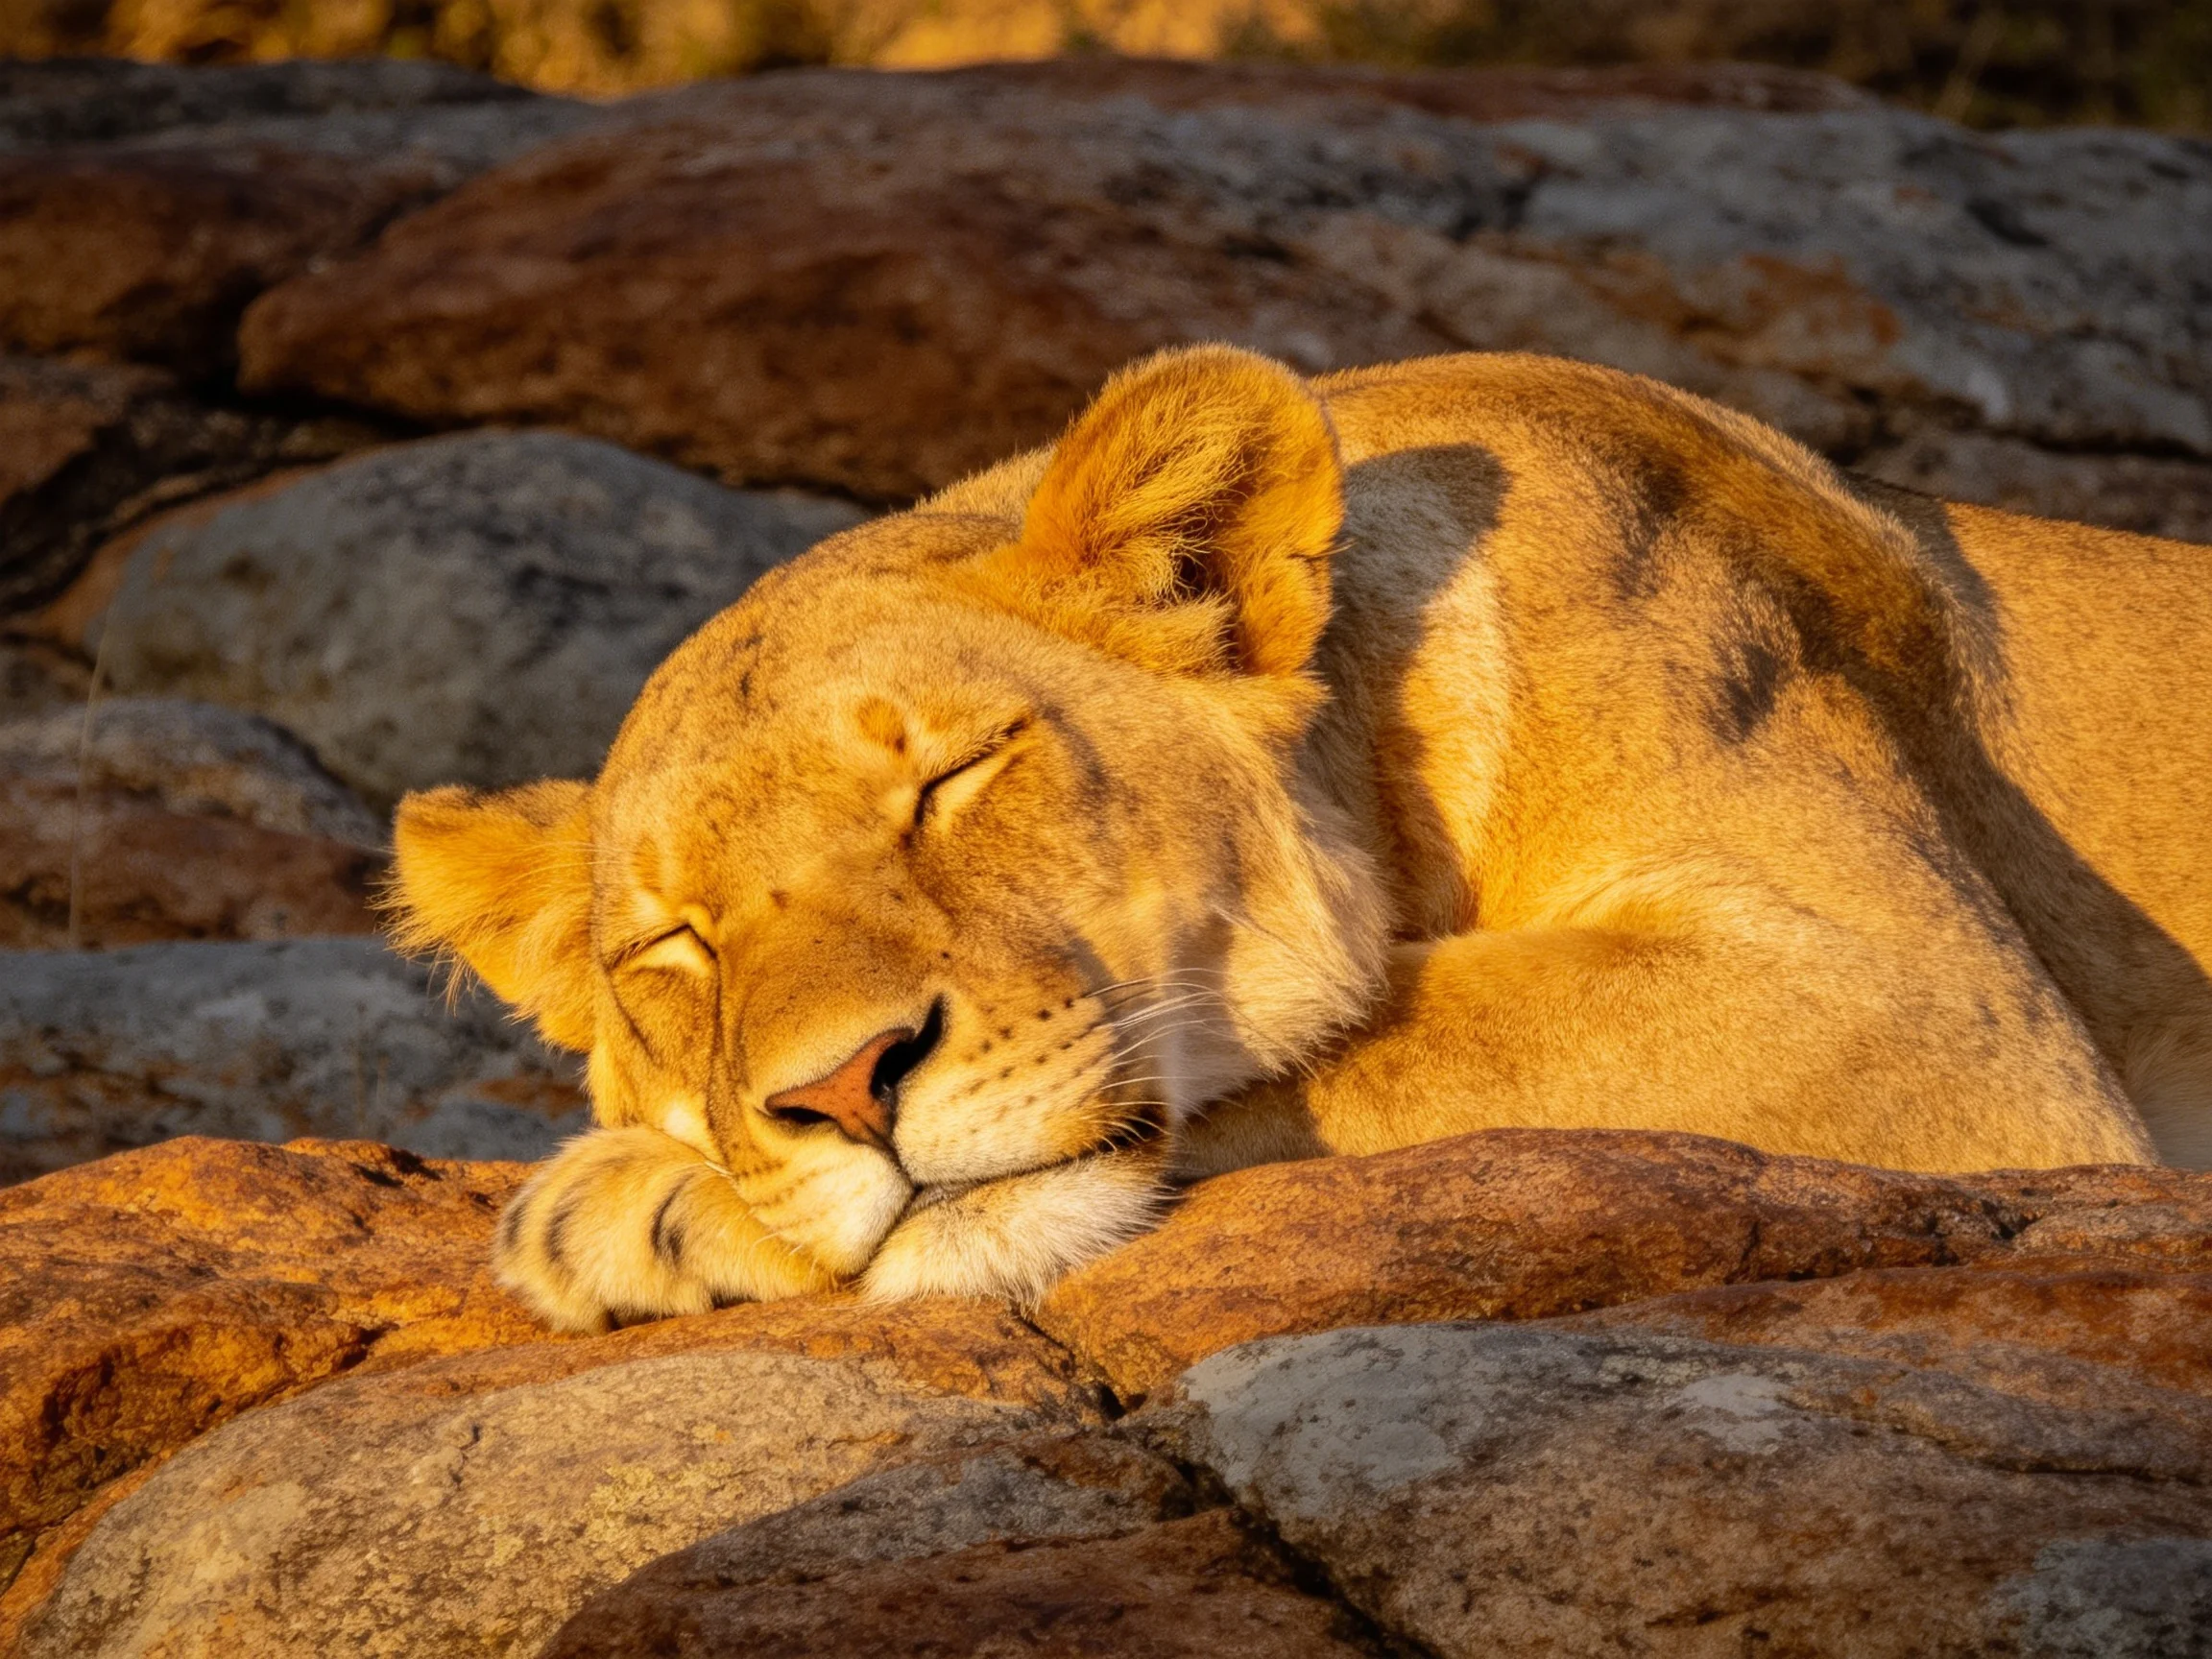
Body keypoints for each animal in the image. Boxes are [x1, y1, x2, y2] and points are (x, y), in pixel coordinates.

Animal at [390, 346, 2212, 1332]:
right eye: (671, 947)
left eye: (955, 778)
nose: (842, 1089)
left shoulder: (1927, 1013)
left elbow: (1422, 1033)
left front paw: (627, 1204)